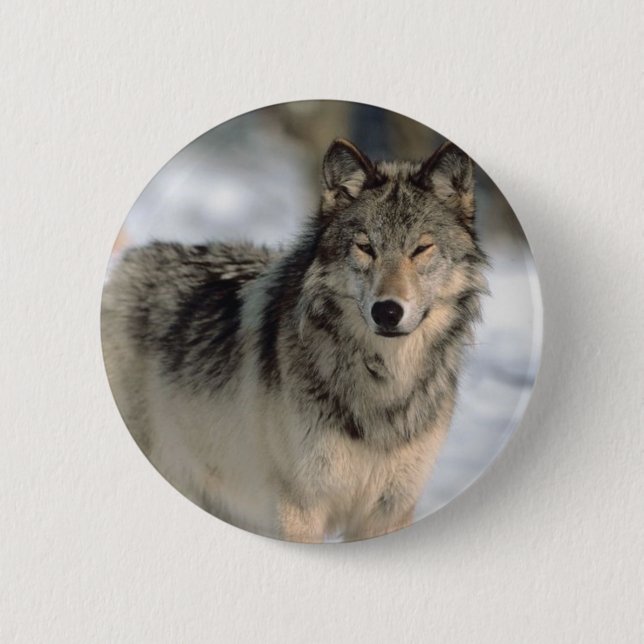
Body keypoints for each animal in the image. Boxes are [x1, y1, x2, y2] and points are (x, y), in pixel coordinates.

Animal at [101, 138, 488, 542]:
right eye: (366, 248)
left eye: (421, 249)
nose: (387, 311)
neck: (383, 385)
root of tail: (129, 261)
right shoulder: (299, 507)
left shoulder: (388, 512)